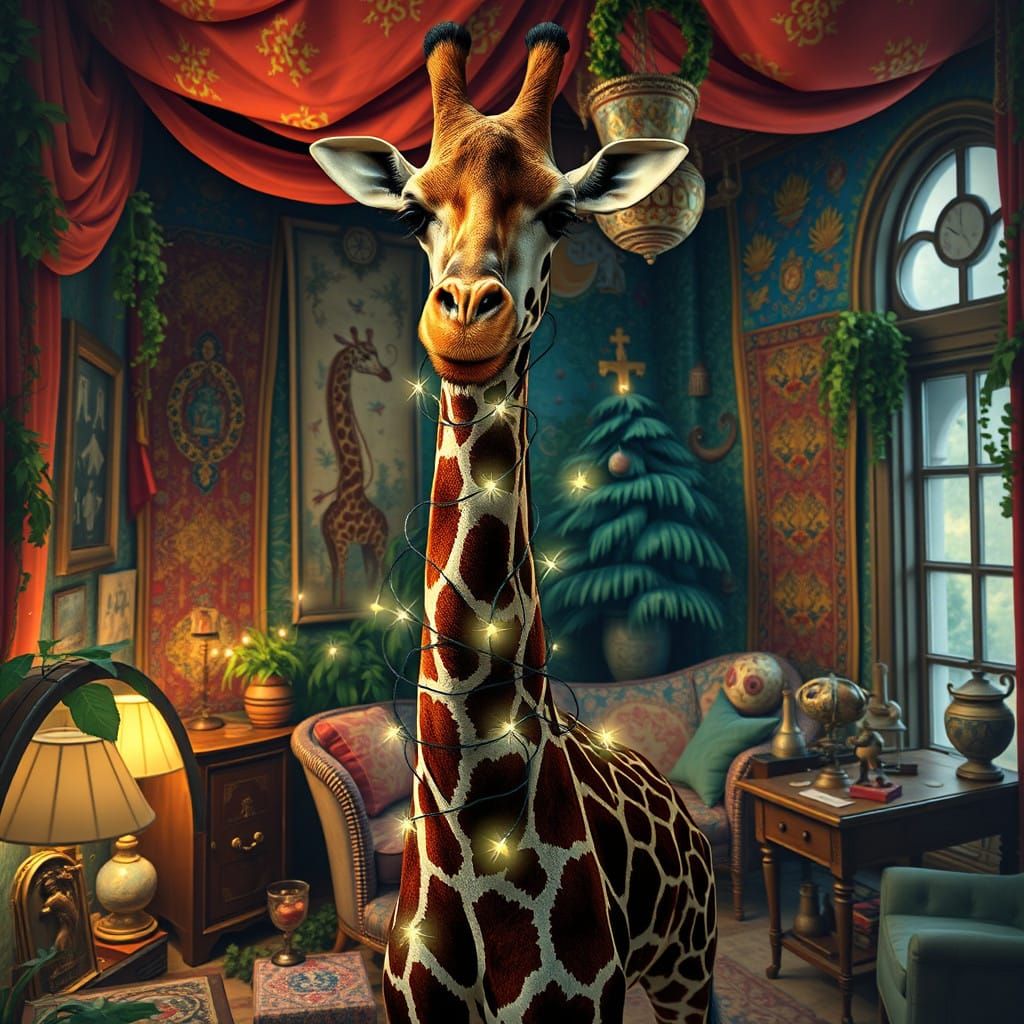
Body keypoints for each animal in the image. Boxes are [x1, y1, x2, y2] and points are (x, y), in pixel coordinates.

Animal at [319, 326, 392, 606]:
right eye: (365, 355)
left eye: (377, 352)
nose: (386, 373)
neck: (350, 488)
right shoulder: (334, 543)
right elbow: (338, 582)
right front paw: (336, 607)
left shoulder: (344, 543)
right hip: (368, 547)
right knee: (373, 577)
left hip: (379, 544)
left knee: (381, 574)